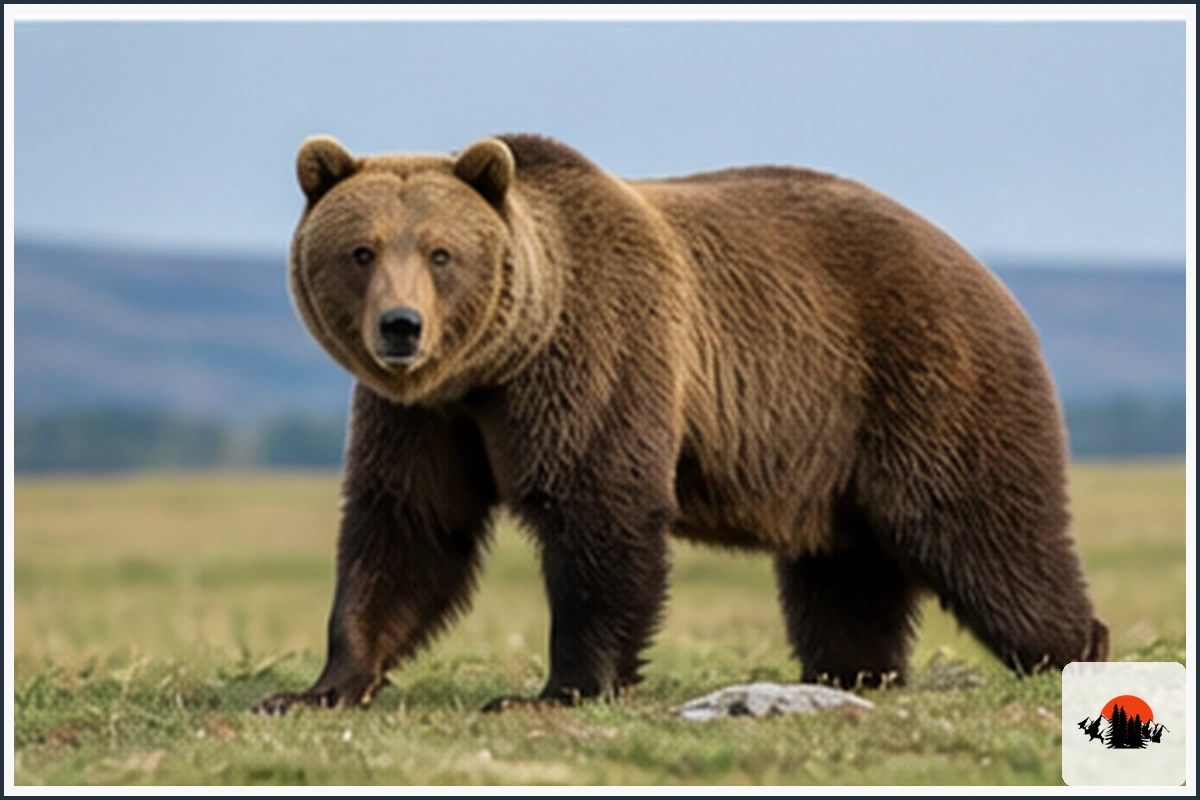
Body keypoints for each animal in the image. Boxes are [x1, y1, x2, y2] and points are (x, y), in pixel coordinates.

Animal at [254, 133, 1108, 714]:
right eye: (361, 251)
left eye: (440, 253)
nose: (400, 328)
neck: (495, 365)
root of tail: (981, 269)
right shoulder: (426, 418)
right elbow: (407, 526)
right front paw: (316, 687)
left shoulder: (596, 354)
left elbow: (598, 510)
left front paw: (559, 687)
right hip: (835, 452)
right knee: (845, 573)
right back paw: (850, 671)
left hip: (924, 383)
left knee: (987, 537)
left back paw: (1073, 649)